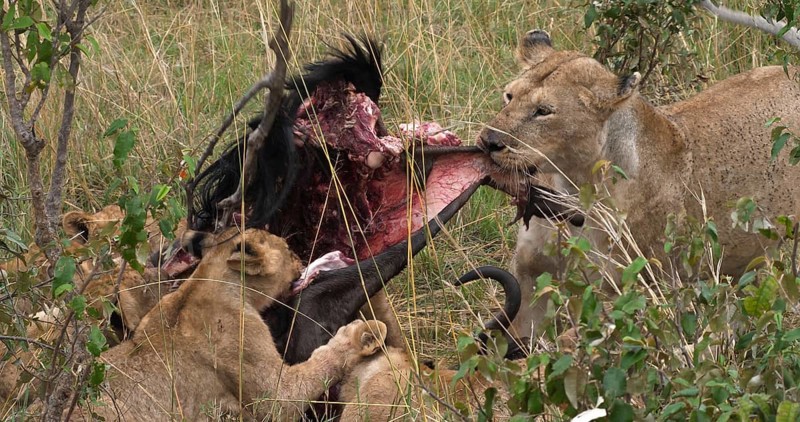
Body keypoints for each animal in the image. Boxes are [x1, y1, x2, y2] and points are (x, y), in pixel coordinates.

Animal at [68, 227, 387, 421]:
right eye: (288, 249)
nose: (301, 257)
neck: (203, 281)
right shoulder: (269, 390)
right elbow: (314, 370)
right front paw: (359, 334)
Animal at [478, 29, 800, 339]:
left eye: (544, 111)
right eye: (509, 96)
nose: (488, 141)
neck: (572, 187)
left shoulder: (641, 293)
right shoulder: (529, 276)